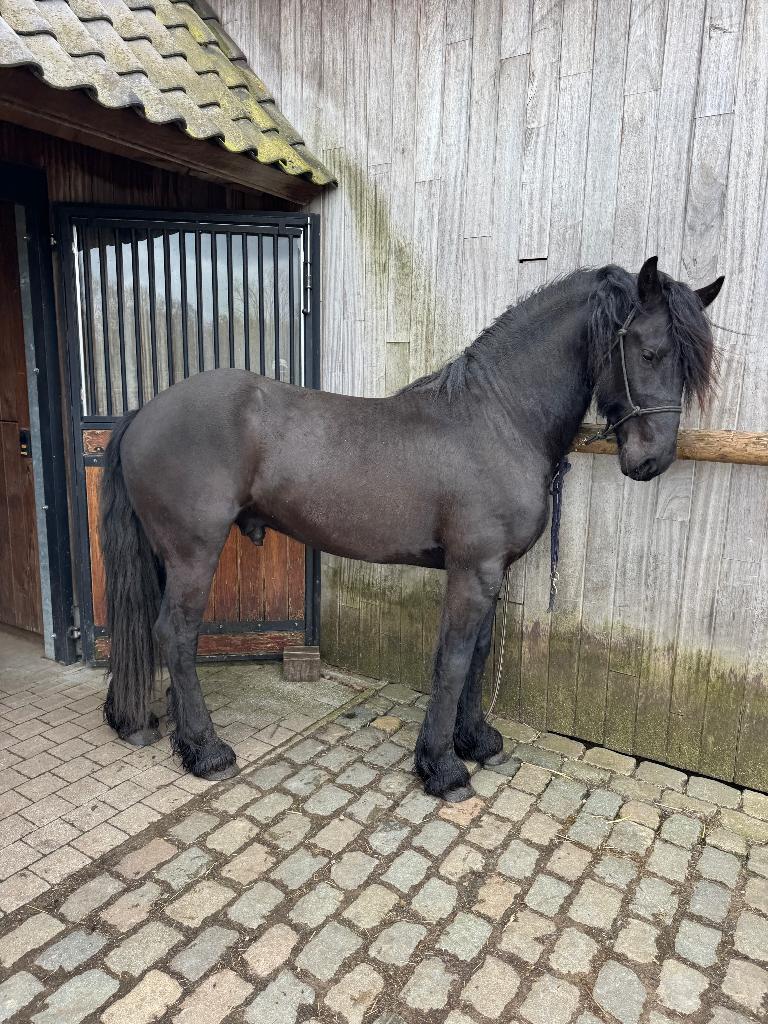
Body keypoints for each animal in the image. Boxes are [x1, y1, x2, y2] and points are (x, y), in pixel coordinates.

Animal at [100, 256, 723, 801]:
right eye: (649, 351)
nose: (652, 460)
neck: (499, 419)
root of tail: (144, 412)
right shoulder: (472, 571)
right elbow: (454, 658)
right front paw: (443, 769)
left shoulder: (492, 572)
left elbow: (480, 652)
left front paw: (478, 742)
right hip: (193, 554)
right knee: (175, 635)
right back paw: (206, 751)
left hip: (167, 557)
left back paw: (142, 723)